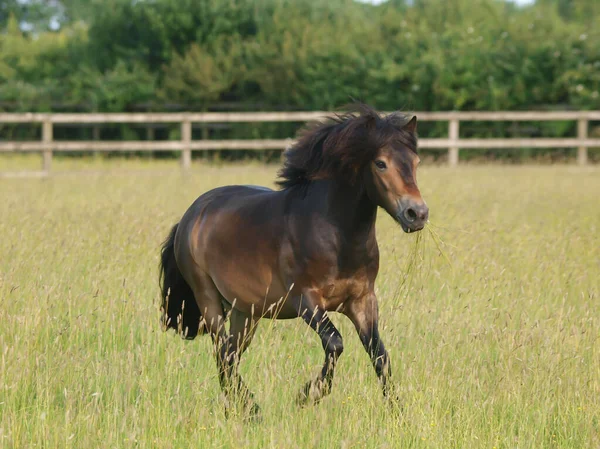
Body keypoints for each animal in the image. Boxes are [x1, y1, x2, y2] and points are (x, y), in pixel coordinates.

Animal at [158, 103, 426, 414]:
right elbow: (335, 343)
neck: (336, 236)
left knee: (229, 354)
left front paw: (398, 412)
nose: (417, 213)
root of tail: (191, 215)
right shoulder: (305, 300)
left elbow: (379, 355)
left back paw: (243, 409)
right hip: (209, 300)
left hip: (245, 311)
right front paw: (308, 394)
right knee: (223, 353)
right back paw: (250, 409)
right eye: (380, 163)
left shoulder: (362, 300)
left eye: (416, 162)